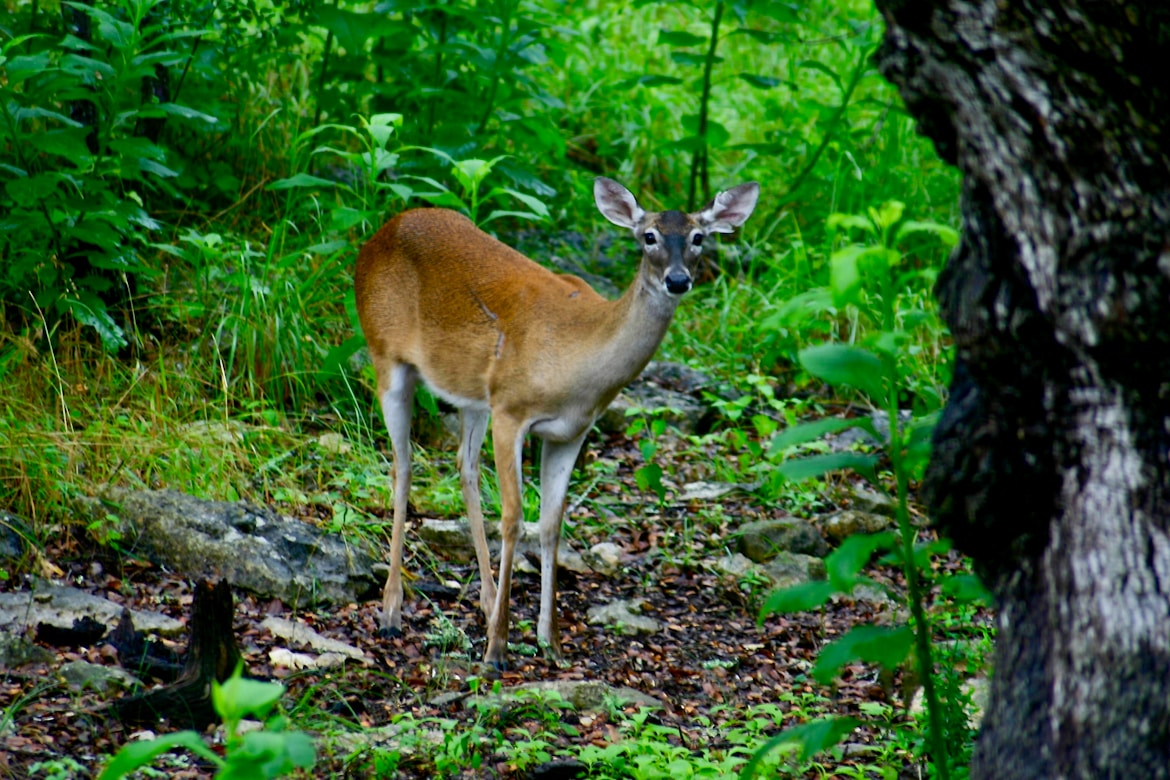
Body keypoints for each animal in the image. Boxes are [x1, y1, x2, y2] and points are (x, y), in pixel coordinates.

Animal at [351, 178, 762, 673]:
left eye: (699, 237)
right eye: (648, 236)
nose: (678, 280)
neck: (577, 363)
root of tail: (380, 234)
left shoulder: (571, 432)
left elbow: (551, 525)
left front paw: (552, 640)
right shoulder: (511, 410)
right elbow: (513, 519)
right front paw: (497, 649)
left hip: (471, 393)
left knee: (464, 467)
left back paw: (486, 601)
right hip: (385, 353)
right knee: (403, 465)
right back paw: (392, 611)